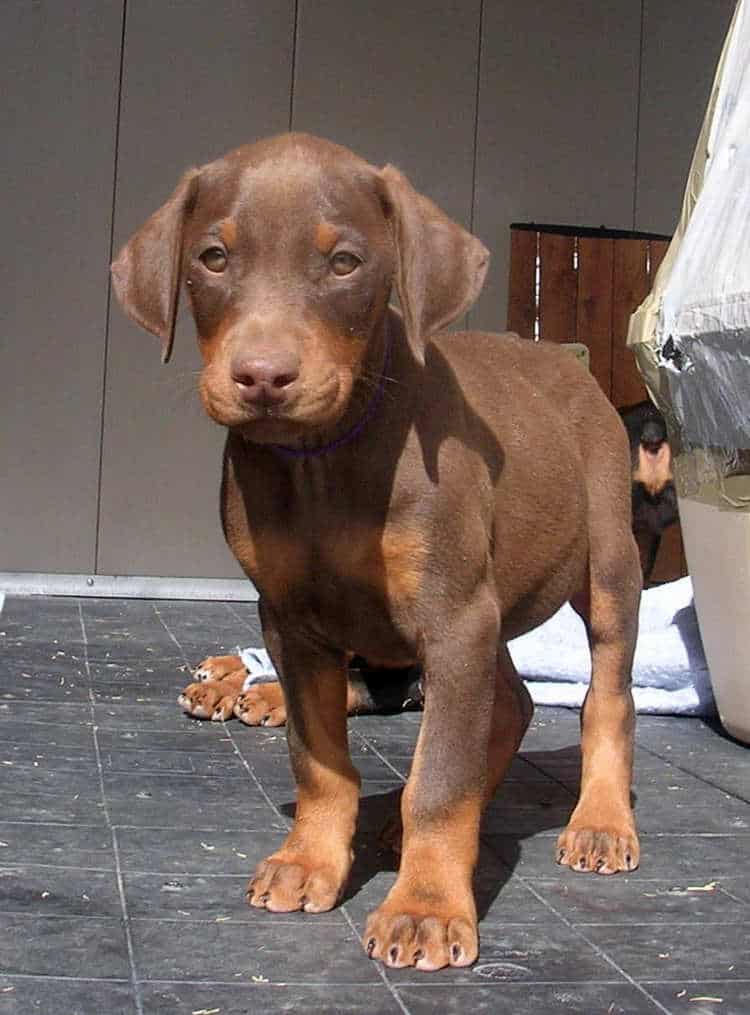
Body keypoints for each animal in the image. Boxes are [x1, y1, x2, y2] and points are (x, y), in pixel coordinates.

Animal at [114, 130, 641, 970]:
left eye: (344, 263)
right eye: (213, 257)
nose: (263, 376)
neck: (322, 458)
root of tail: (568, 358)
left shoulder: (452, 614)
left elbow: (443, 777)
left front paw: (425, 906)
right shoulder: (293, 624)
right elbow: (320, 757)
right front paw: (309, 861)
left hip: (606, 563)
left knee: (608, 697)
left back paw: (599, 820)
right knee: (512, 702)